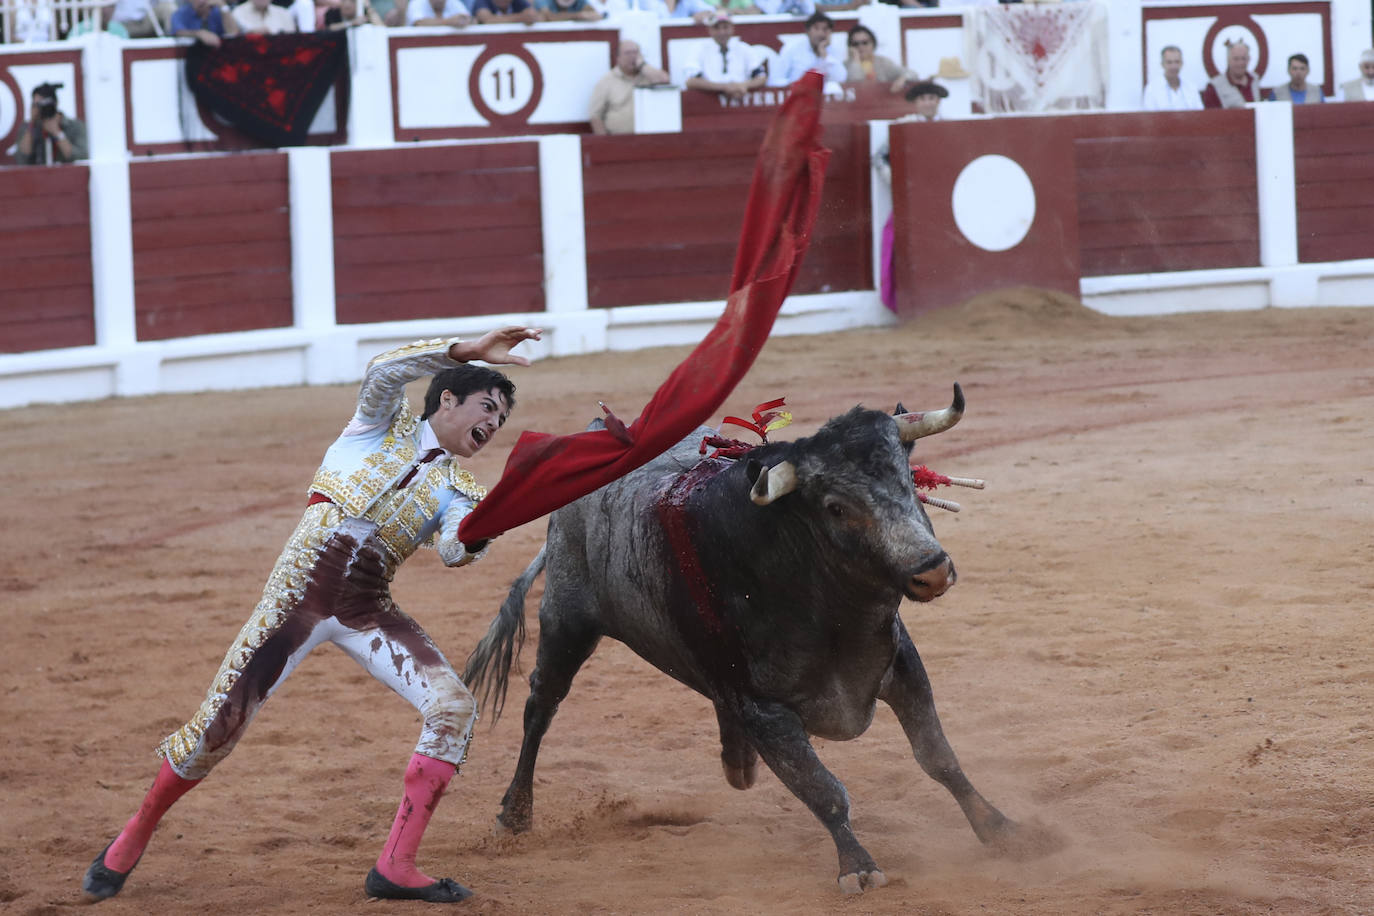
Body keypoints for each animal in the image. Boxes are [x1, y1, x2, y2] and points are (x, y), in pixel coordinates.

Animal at [467, 387, 1027, 895]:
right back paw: (513, 815)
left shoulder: (901, 663)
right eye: (836, 507)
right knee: (541, 707)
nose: (931, 571)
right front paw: (858, 867)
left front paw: (1001, 829)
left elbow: (939, 758)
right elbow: (823, 790)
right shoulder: (764, 708)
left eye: (907, 479)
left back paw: (738, 761)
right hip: (567, 621)